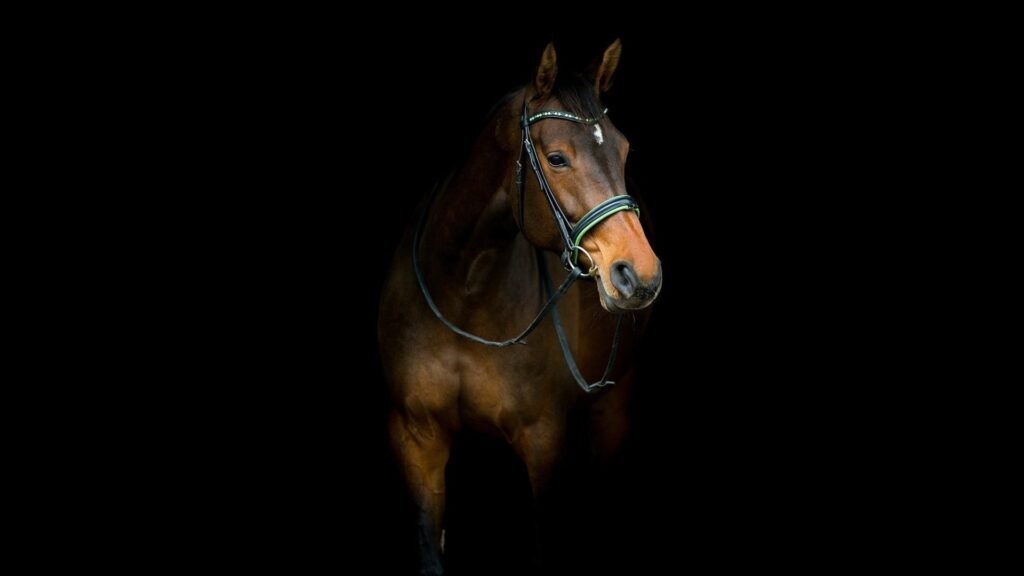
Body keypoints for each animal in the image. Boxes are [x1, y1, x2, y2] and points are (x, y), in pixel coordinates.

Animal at [378, 39, 662, 575]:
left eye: (624, 150)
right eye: (557, 158)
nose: (640, 274)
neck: (465, 292)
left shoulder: (544, 444)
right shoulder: (417, 438)